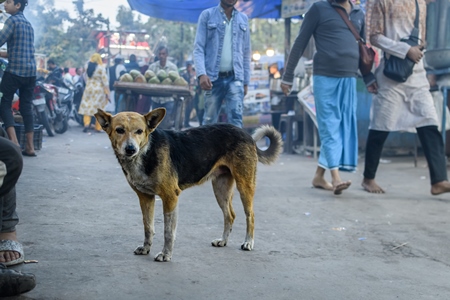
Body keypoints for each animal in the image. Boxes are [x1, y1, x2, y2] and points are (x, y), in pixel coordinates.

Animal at [96, 108, 282, 262]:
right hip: (220, 189)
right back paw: (223, 241)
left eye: (139, 131)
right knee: (230, 215)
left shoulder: (170, 197)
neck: (145, 152)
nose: (130, 149)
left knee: (250, 215)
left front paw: (166, 254)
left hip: (245, 185)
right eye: (120, 130)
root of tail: (246, 133)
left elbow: (168, 232)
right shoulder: (145, 197)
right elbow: (148, 227)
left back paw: (248, 242)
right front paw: (146, 248)